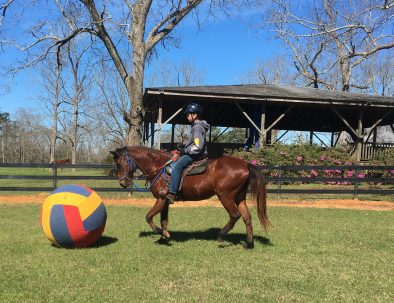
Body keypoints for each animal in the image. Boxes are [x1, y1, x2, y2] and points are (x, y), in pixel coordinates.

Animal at [111, 147, 270, 249]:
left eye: (120, 163)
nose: (123, 183)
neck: (159, 168)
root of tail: (245, 164)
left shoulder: (160, 199)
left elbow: (148, 217)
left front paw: (159, 233)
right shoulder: (166, 201)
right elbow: (164, 220)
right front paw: (163, 237)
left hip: (225, 196)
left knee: (235, 215)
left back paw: (220, 236)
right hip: (239, 198)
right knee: (247, 217)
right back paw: (249, 244)